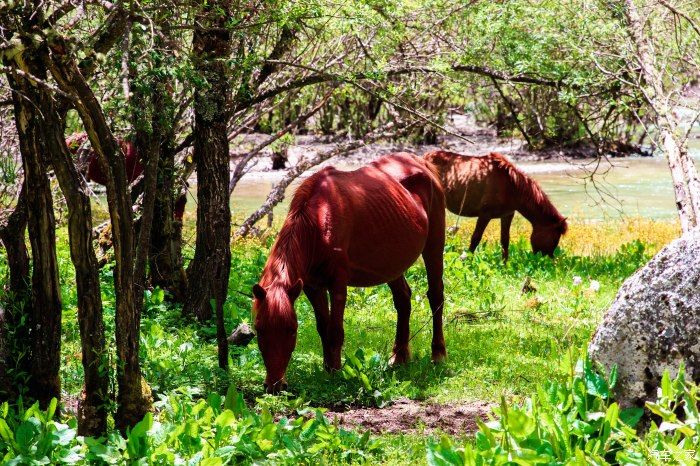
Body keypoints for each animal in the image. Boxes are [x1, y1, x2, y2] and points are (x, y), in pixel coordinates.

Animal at [254, 153, 446, 394]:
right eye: (258, 329)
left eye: (292, 330)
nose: (274, 386)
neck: (319, 219)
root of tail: (420, 162)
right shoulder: (312, 286)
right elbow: (323, 327)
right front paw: (327, 368)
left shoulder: (338, 284)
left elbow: (335, 331)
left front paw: (336, 373)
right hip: (390, 263)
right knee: (403, 300)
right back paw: (399, 357)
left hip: (434, 246)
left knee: (436, 296)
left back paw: (438, 354)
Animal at [424, 151, 568, 260]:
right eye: (555, 238)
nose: (549, 259)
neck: (511, 187)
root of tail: (426, 157)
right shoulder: (484, 215)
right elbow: (475, 238)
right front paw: (468, 260)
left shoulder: (507, 215)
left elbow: (505, 240)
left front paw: (505, 264)